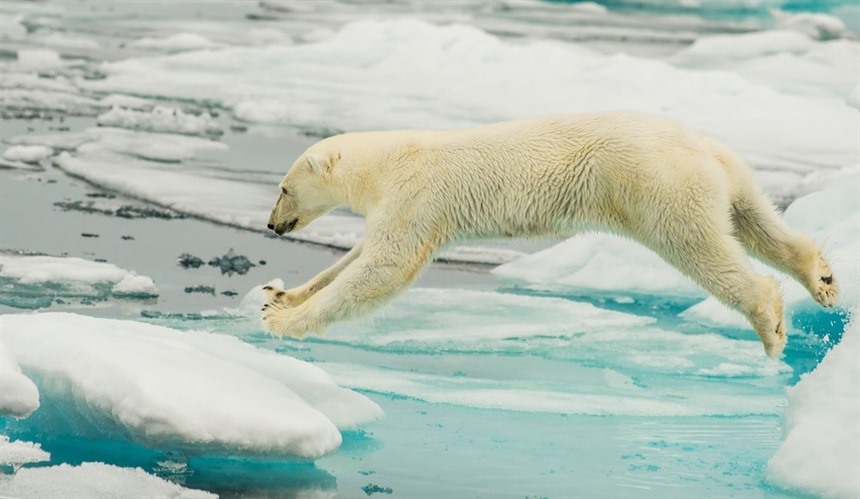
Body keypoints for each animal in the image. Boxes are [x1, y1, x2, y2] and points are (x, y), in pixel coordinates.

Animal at [264, 111, 840, 358]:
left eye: (283, 187)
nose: (271, 224)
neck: (386, 162)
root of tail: (702, 147)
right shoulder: (400, 204)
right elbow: (357, 256)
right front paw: (280, 295)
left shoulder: (416, 196)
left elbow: (384, 267)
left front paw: (283, 322)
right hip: (729, 174)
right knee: (754, 220)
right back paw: (821, 277)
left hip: (657, 185)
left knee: (698, 245)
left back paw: (770, 328)